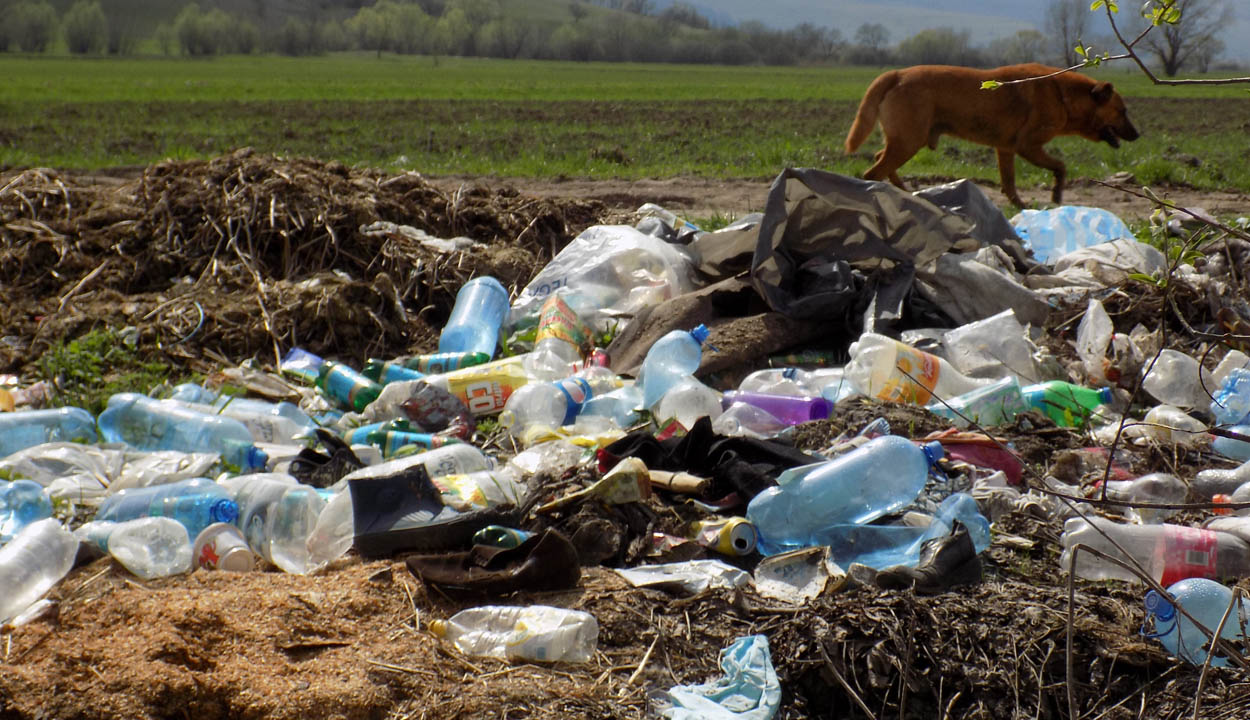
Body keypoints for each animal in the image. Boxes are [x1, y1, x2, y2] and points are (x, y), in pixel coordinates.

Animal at [840, 63, 1145, 206]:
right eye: (1122, 111)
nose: (1138, 135)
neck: (1064, 95)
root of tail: (897, 73)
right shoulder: (1028, 146)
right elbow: (1061, 167)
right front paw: (1057, 194)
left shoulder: (1006, 149)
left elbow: (1009, 183)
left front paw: (1019, 206)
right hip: (908, 142)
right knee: (872, 173)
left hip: (904, 141)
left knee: (880, 160)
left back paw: (904, 193)